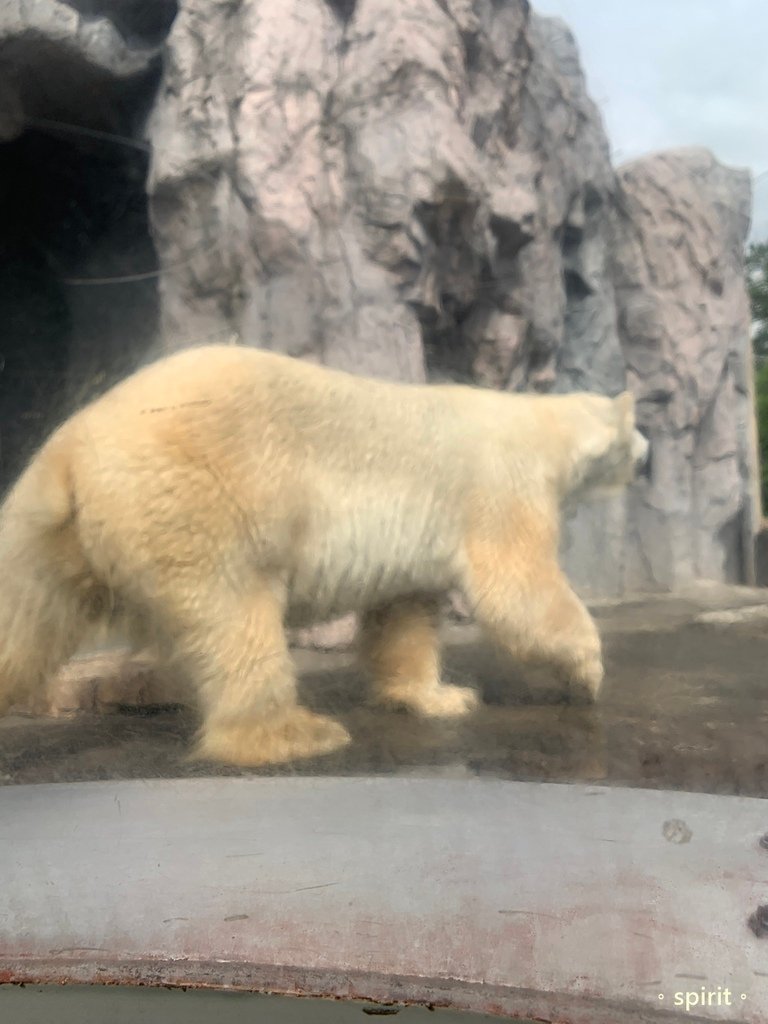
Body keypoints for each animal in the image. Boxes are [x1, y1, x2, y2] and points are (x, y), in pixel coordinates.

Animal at [0, 348, 651, 765]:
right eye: (637, 429)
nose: (648, 455)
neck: (541, 425)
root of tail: (70, 444)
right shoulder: (501, 485)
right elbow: (517, 587)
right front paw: (587, 670)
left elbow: (404, 614)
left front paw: (437, 697)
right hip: (203, 504)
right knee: (236, 621)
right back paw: (293, 733)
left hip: (59, 537)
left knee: (24, 617)